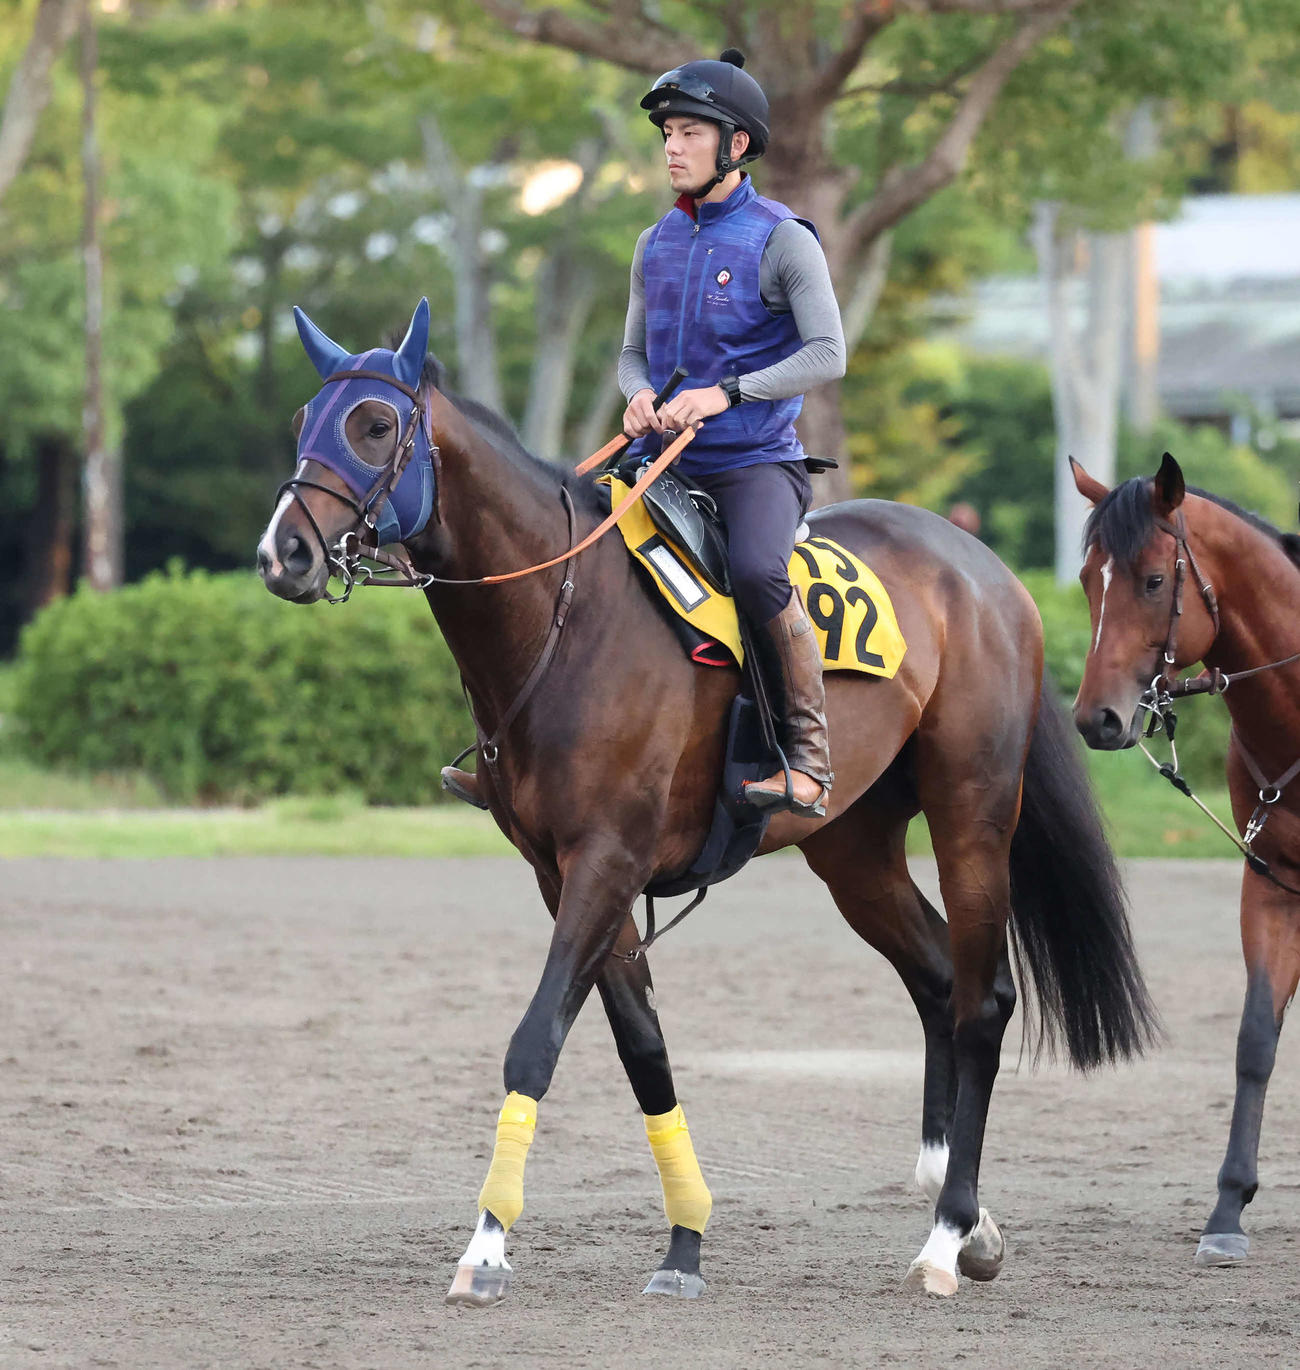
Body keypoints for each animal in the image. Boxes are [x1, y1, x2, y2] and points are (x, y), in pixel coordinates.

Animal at [256, 298, 1157, 1303]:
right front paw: (684, 1241)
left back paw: (947, 1233)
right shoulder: (563, 872)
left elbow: (535, 1041)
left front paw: (486, 1247)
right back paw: (963, 1214)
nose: (283, 552)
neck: (568, 613)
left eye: (375, 426)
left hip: (972, 812)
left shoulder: (606, 859)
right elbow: (643, 1051)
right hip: (851, 846)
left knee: (983, 1000)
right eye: (303, 421)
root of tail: (987, 571)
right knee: (935, 980)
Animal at [1070, 452, 1300, 1268]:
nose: (1096, 719)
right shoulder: (1272, 888)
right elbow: (1256, 1039)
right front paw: (1229, 1207)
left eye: (1151, 580)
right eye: (1087, 578)